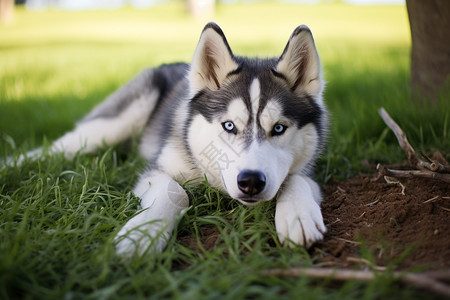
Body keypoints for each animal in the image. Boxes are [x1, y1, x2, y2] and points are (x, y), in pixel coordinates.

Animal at [12, 22, 326, 255]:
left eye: (279, 129)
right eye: (228, 126)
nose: (250, 181)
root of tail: (168, 63)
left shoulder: (307, 170)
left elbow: (296, 179)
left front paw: (298, 216)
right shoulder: (157, 171)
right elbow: (175, 191)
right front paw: (143, 234)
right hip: (111, 126)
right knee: (58, 147)